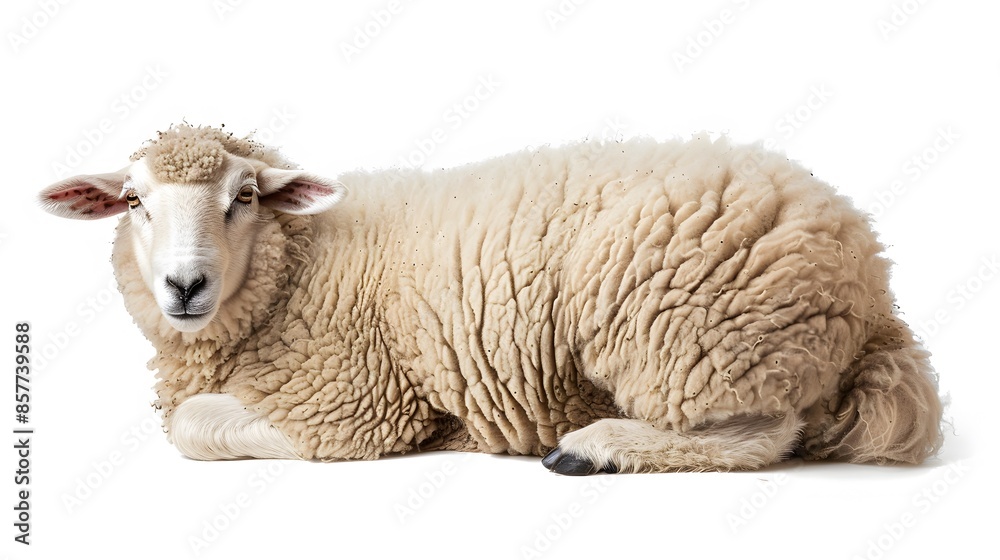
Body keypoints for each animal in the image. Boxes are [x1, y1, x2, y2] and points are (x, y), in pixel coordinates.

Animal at [38, 124, 943, 474]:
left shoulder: (354, 402)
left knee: (764, 433)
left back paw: (596, 446)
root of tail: (873, 291)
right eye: (133, 201)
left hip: (691, 332)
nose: (184, 285)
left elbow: (194, 427)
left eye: (247, 197)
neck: (296, 270)